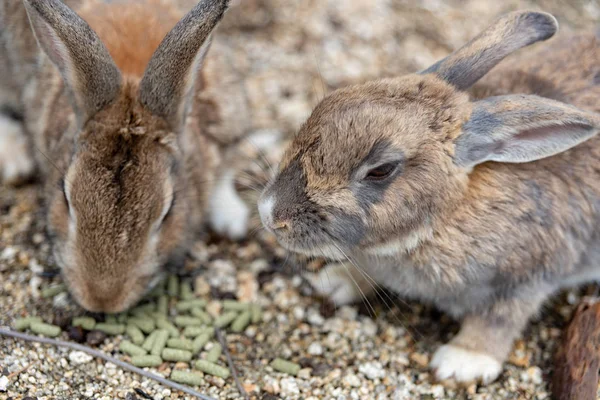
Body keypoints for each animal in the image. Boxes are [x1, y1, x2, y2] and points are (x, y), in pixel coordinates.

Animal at [258, 10, 600, 384]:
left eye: (381, 170)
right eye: (323, 105)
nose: (269, 214)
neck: (440, 220)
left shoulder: (527, 277)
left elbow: (499, 319)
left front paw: (462, 362)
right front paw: (334, 281)